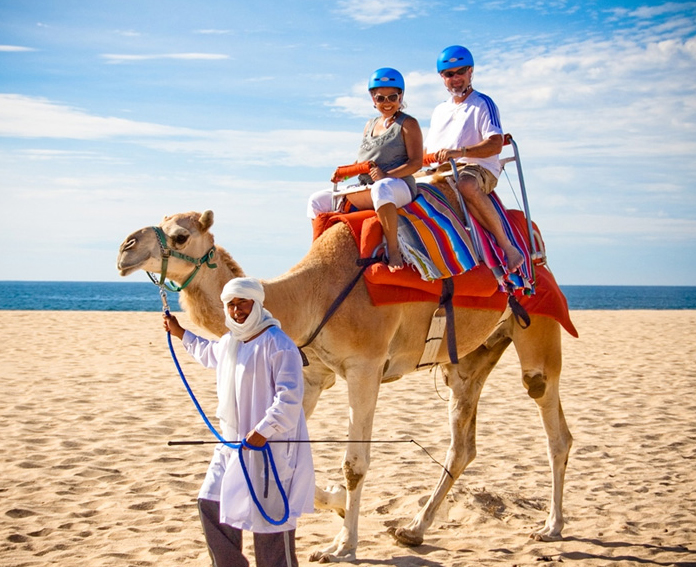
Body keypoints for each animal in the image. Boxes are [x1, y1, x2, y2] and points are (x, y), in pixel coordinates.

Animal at [115, 210, 572, 564]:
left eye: (180, 235)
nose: (125, 248)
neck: (309, 297)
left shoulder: (365, 367)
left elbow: (355, 464)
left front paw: (342, 546)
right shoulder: (312, 374)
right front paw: (333, 504)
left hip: (537, 325)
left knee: (553, 424)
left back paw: (551, 526)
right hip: (468, 360)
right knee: (463, 444)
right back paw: (413, 529)